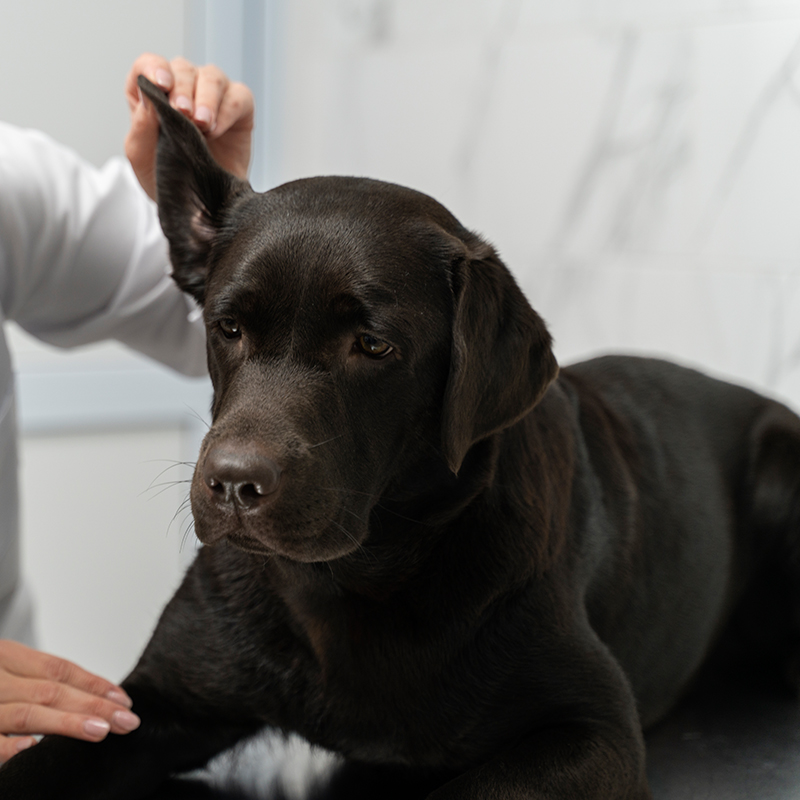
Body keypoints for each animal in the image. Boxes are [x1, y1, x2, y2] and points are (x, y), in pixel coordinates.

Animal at [3, 76, 796, 800]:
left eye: (372, 345)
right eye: (227, 327)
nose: (232, 483)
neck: (355, 580)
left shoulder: (592, 730)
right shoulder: (149, 702)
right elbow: (36, 763)